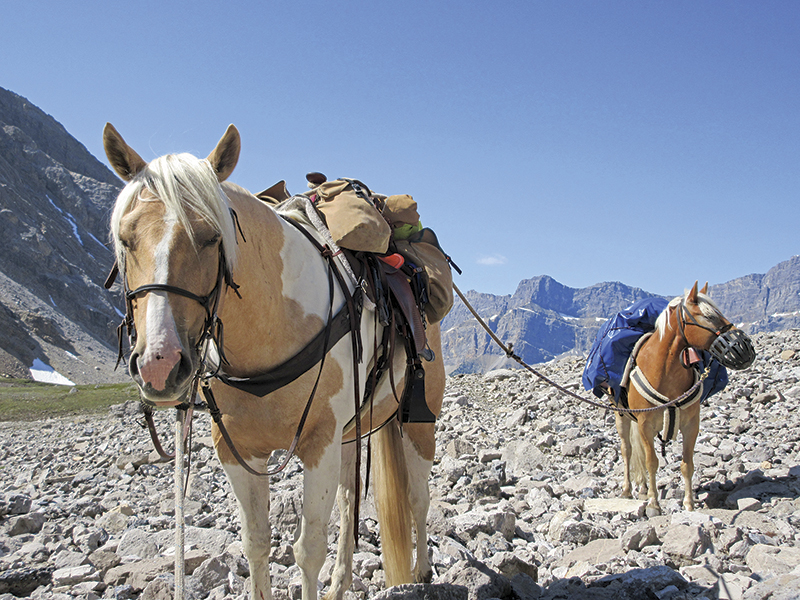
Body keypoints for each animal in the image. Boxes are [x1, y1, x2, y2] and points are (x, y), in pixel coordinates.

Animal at [103, 123, 445, 600]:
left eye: (211, 237)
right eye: (125, 239)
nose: (160, 364)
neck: (272, 327)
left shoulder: (318, 444)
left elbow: (309, 549)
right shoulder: (237, 450)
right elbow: (257, 543)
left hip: (417, 420)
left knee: (417, 496)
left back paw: (422, 572)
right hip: (352, 432)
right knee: (350, 498)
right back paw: (341, 583)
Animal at [616, 282, 755, 516]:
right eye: (709, 316)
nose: (745, 348)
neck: (664, 372)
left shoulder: (691, 424)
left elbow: (687, 464)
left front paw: (689, 504)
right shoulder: (644, 424)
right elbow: (651, 461)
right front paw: (654, 504)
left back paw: (643, 489)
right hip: (622, 415)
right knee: (627, 450)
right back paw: (627, 490)